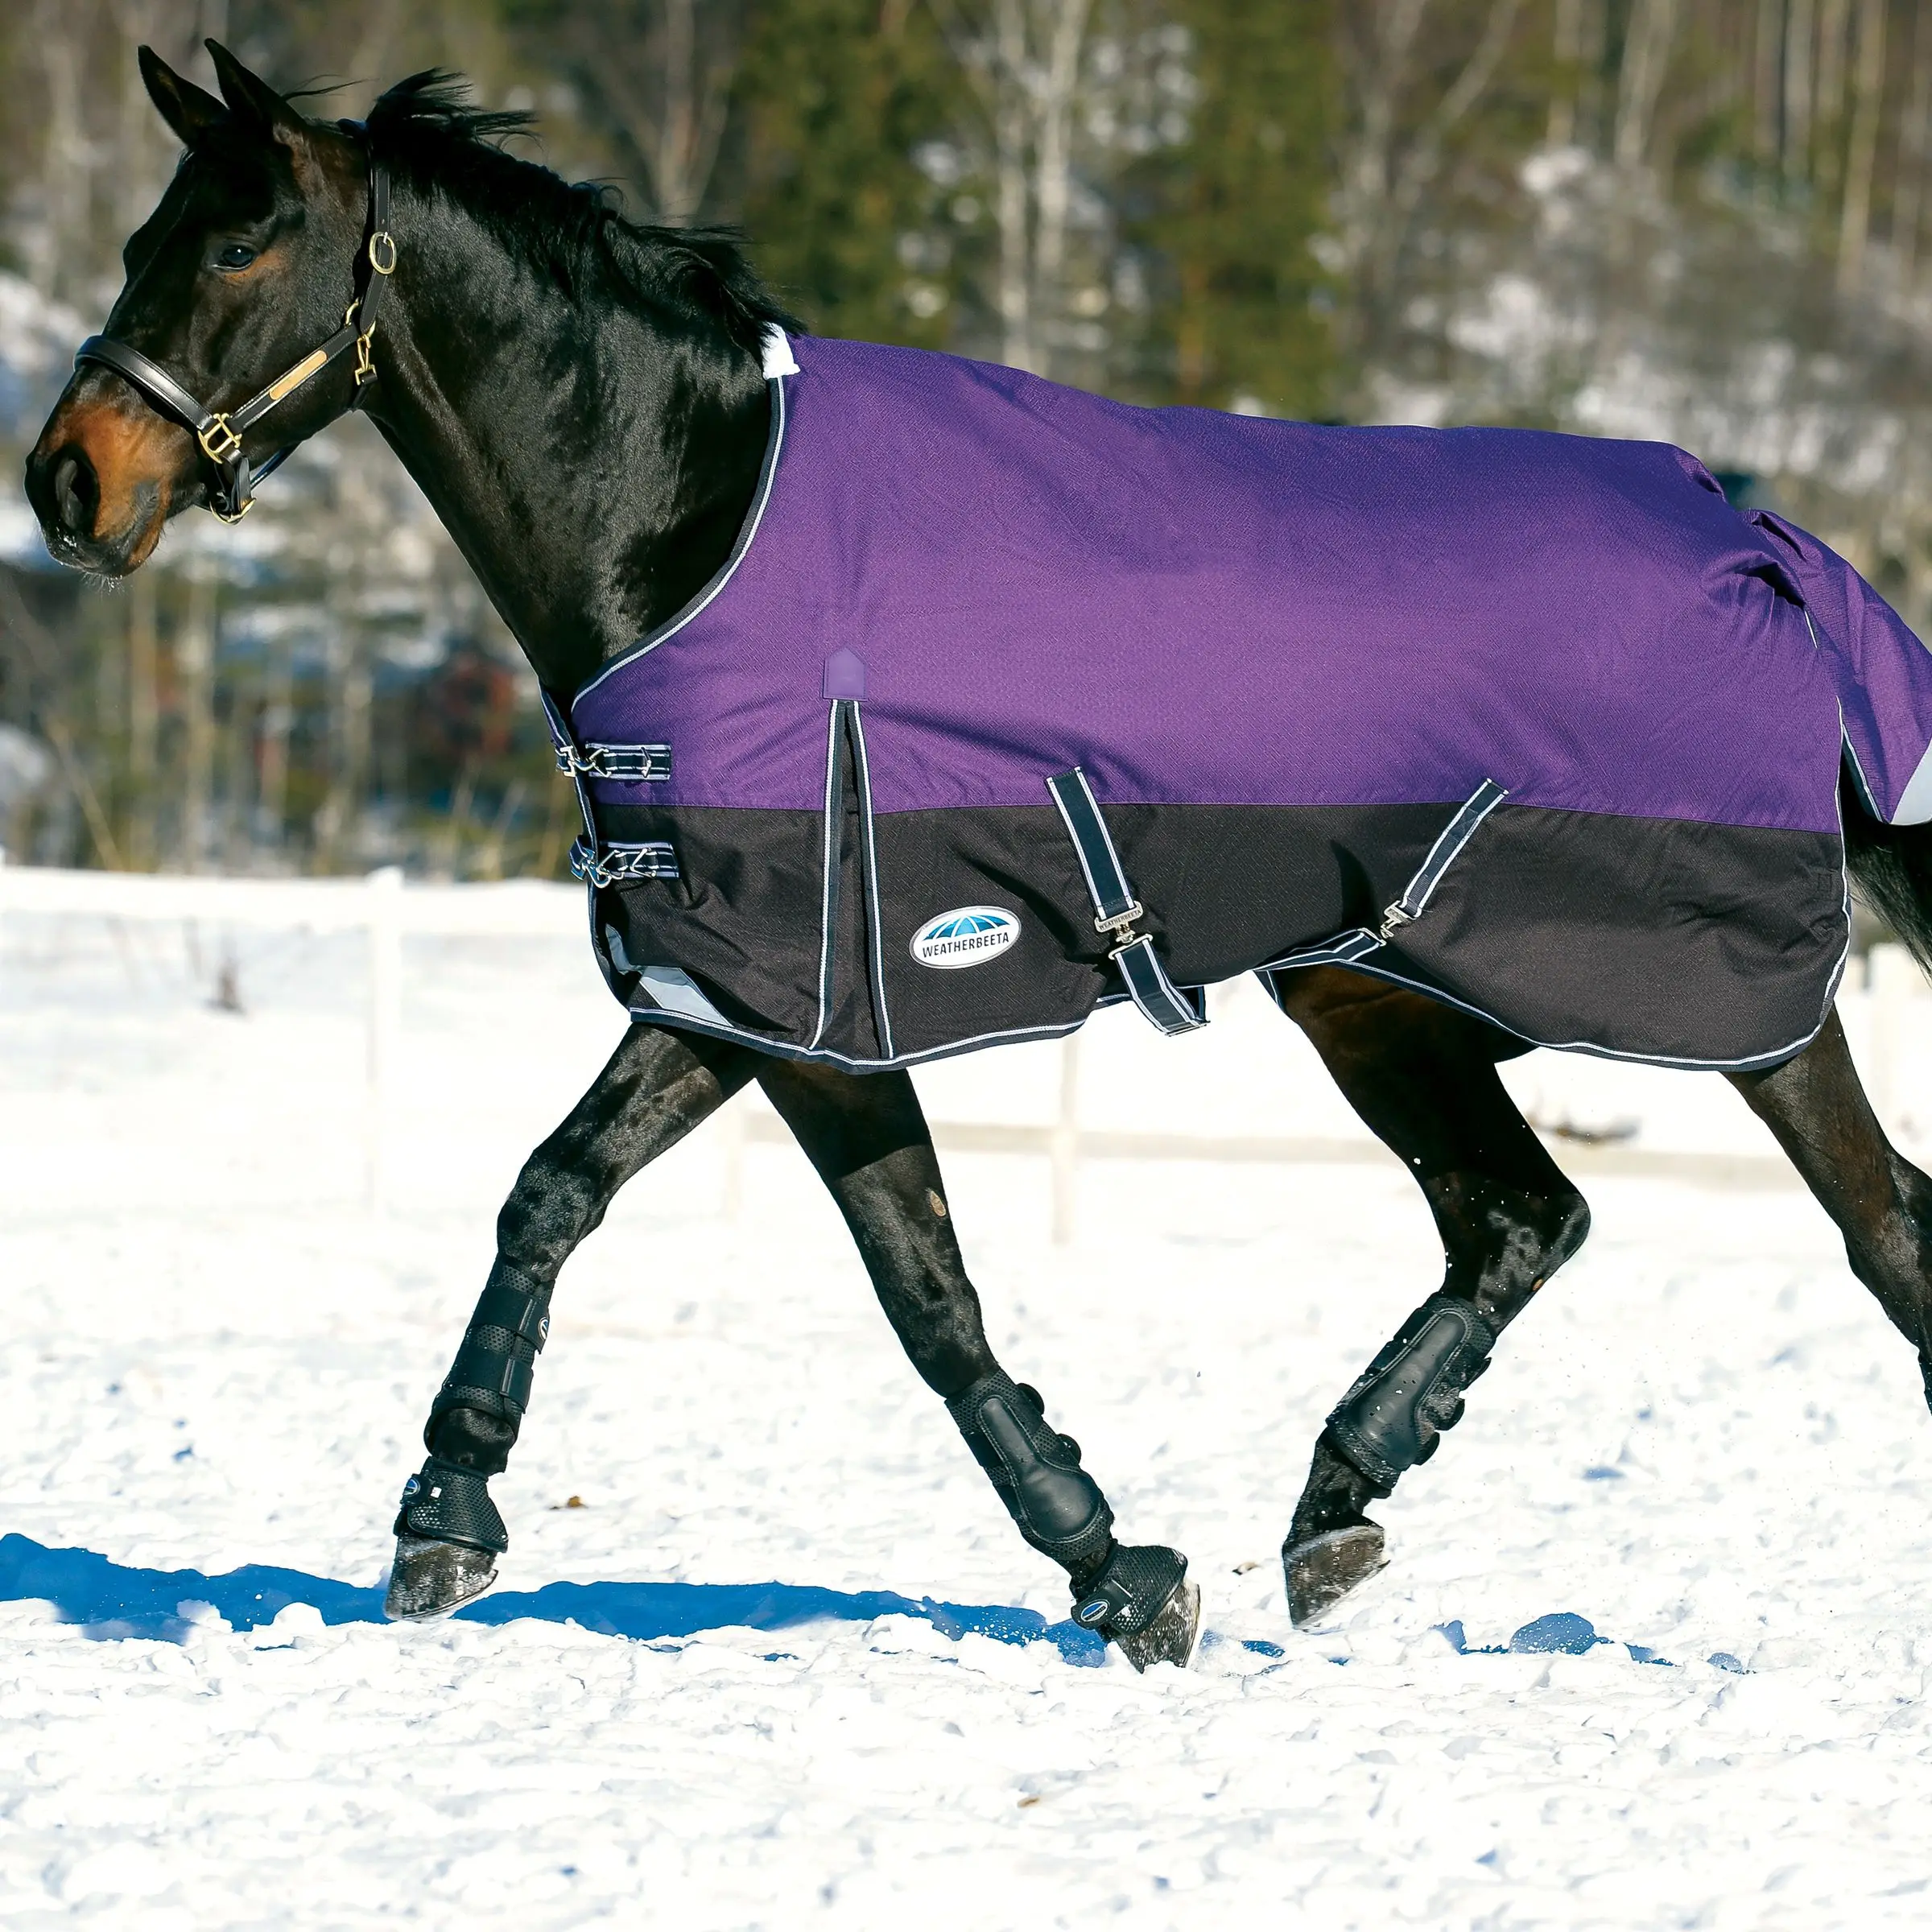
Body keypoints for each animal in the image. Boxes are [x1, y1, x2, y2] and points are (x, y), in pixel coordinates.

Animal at [27, 43, 1932, 1673]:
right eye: (137, 238)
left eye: (243, 241)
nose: (67, 483)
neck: (698, 527)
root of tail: (1745, 531)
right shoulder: (745, 993)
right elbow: (579, 1199)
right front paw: (446, 1516)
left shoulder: (806, 994)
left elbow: (913, 1291)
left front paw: (1117, 1569)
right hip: (1370, 990)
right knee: (1526, 1219)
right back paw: (1332, 1512)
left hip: (1731, 1000)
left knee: (1882, 1234)